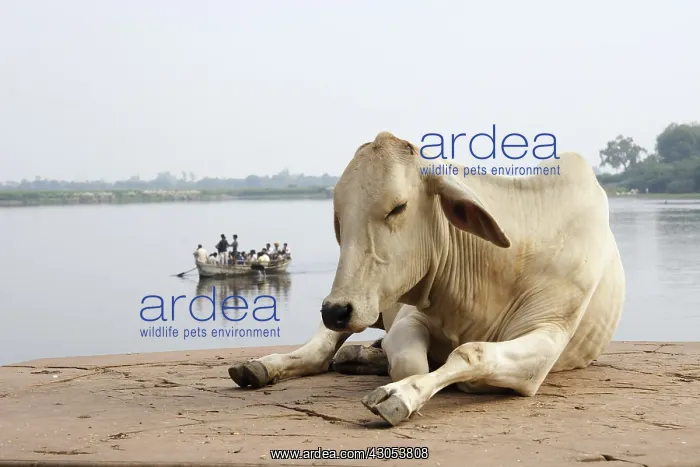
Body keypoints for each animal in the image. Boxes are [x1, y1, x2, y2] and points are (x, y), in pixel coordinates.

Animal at [228, 131, 626, 426]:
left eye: (398, 207)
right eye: (339, 216)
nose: (336, 310)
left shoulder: (547, 341)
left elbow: (471, 352)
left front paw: (401, 391)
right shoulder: (409, 315)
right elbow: (410, 364)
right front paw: (401, 391)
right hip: (371, 305)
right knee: (320, 350)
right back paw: (262, 366)